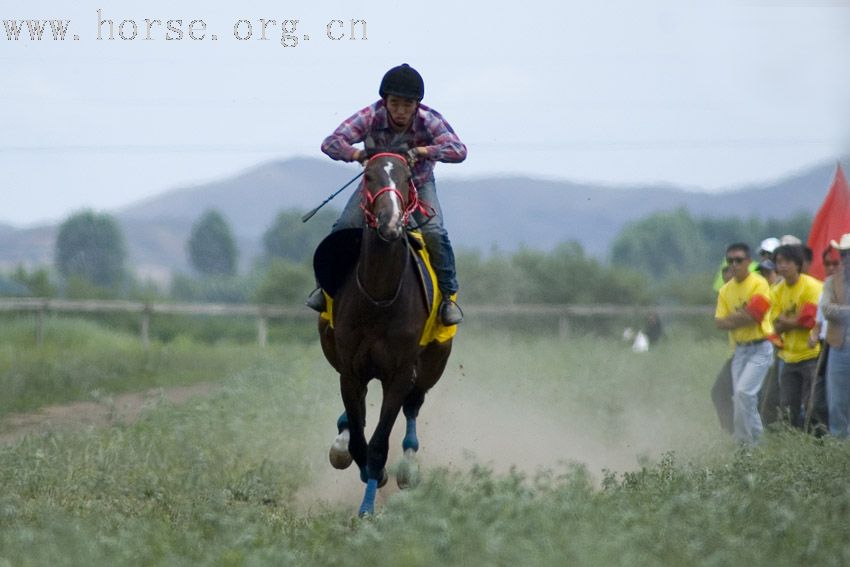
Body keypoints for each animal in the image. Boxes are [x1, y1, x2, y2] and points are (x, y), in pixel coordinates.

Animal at [314, 153, 454, 516]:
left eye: (407, 178)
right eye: (369, 176)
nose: (390, 224)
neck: (379, 295)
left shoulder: (401, 373)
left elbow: (379, 442)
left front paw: (368, 507)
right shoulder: (350, 370)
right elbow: (359, 439)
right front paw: (361, 466)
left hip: (433, 363)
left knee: (413, 406)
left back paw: (408, 466)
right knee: (356, 415)